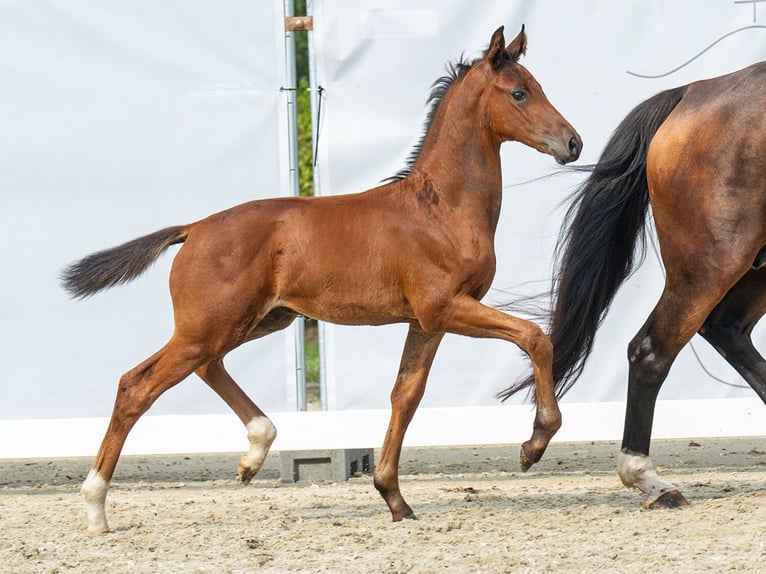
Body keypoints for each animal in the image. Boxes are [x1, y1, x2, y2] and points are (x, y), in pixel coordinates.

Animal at [63, 23, 584, 536]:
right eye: (519, 93)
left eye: (537, 86)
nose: (573, 142)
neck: (441, 207)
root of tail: (194, 228)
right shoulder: (445, 308)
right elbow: (534, 337)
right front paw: (534, 444)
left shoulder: (425, 323)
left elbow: (405, 396)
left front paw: (394, 499)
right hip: (211, 326)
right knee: (137, 385)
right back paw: (95, 506)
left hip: (256, 320)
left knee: (206, 367)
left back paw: (253, 454)